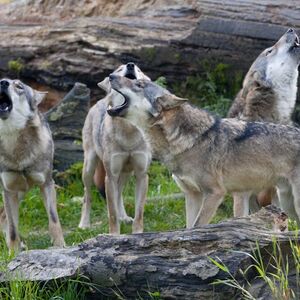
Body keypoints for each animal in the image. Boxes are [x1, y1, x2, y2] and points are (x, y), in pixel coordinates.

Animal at [0, 78, 64, 251]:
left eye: (19, 86)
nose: (3, 82)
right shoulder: (8, 190)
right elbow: (13, 230)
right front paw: (13, 253)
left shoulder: (47, 184)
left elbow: (54, 220)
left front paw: (60, 246)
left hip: (22, 192)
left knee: (2, 216)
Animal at [78, 62, 151, 234]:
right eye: (119, 69)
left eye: (139, 70)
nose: (131, 65)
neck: (129, 132)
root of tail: (100, 100)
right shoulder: (110, 177)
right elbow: (111, 214)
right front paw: (114, 236)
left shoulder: (141, 175)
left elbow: (139, 214)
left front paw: (137, 234)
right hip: (89, 168)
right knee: (87, 195)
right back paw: (84, 224)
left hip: (126, 173)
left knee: (119, 194)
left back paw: (124, 217)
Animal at [106, 75, 300, 227]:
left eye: (140, 84)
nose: (111, 76)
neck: (189, 142)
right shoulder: (192, 195)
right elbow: (188, 228)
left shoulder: (215, 193)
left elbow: (198, 226)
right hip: (287, 203)